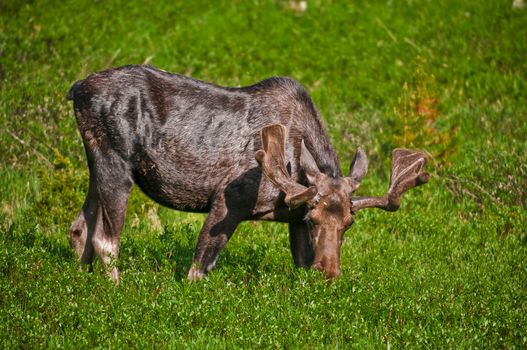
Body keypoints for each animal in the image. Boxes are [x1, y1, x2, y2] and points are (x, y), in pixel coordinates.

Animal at [67, 64, 428, 282]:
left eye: (349, 223)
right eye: (314, 219)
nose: (329, 274)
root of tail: (76, 90)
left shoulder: (292, 218)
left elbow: (300, 263)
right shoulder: (230, 200)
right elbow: (198, 269)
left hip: (95, 165)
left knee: (79, 227)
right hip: (115, 163)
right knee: (105, 238)